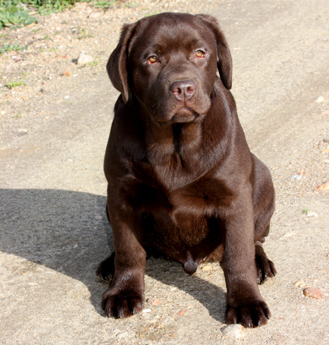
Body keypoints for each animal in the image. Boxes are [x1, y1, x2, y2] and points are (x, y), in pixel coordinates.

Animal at [96, 12, 276, 326]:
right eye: (152, 59)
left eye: (200, 53)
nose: (183, 88)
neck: (175, 146)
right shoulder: (120, 194)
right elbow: (128, 249)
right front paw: (123, 291)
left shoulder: (234, 198)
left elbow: (238, 254)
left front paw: (246, 302)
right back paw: (108, 265)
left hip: (264, 181)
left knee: (255, 239)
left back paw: (261, 264)